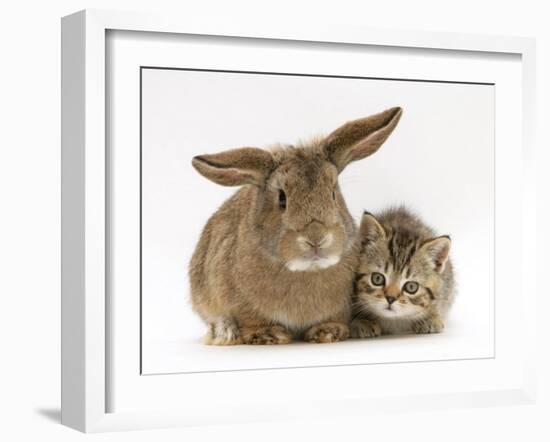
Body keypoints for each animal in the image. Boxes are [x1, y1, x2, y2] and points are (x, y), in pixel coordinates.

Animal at [192, 106, 404, 346]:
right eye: (282, 199)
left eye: (333, 193)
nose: (316, 238)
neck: (307, 269)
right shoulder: (238, 303)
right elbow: (250, 320)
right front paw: (268, 334)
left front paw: (328, 332)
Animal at [354, 207, 458, 338]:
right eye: (377, 278)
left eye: (411, 287)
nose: (390, 298)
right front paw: (363, 321)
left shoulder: (446, 287)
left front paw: (430, 318)